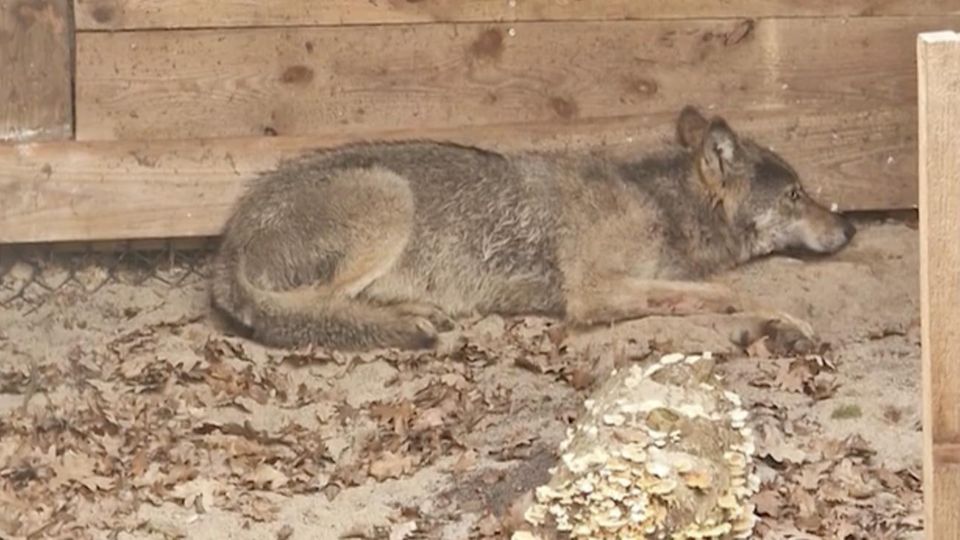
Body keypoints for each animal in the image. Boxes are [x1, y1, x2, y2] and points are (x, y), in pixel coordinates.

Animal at [210, 106, 856, 351]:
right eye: (797, 194)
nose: (850, 227)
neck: (657, 203)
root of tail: (227, 242)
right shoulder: (594, 293)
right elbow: (727, 291)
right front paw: (783, 321)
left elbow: (714, 291)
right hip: (390, 198)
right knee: (314, 310)